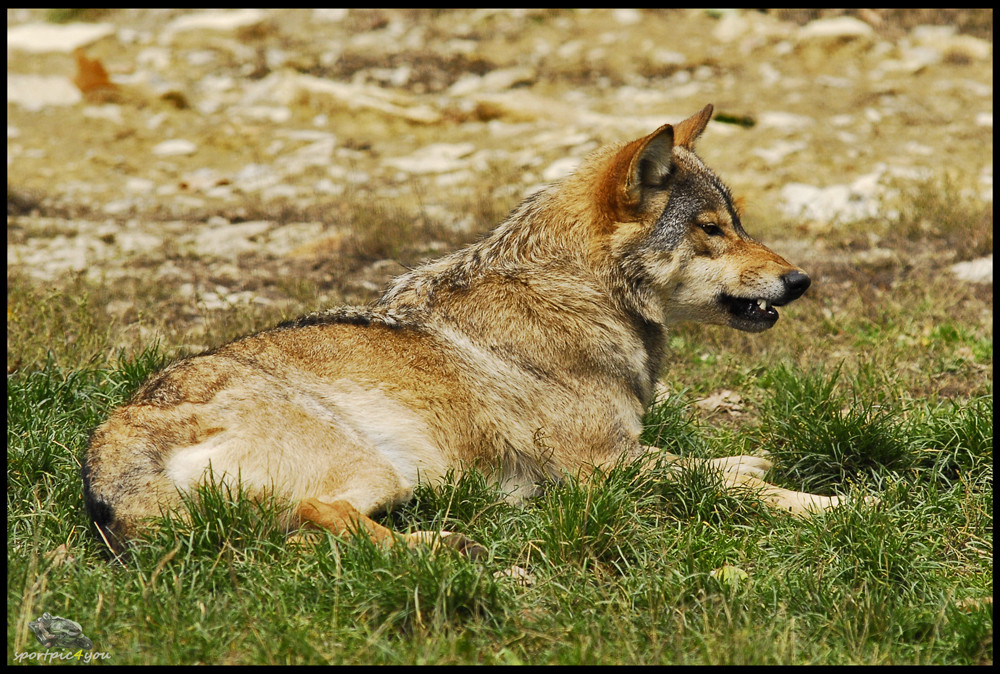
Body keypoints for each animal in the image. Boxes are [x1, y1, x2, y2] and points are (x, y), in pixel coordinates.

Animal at [82, 105, 844, 556]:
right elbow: (740, 490)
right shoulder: (601, 470)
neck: (579, 296)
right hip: (376, 467)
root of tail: (110, 451)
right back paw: (451, 548)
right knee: (323, 518)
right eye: (711, 230)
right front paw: (836, 503)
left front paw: (751, 460)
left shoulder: (629, 455)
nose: (801, 281)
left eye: (737, 222)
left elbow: (714, 467)